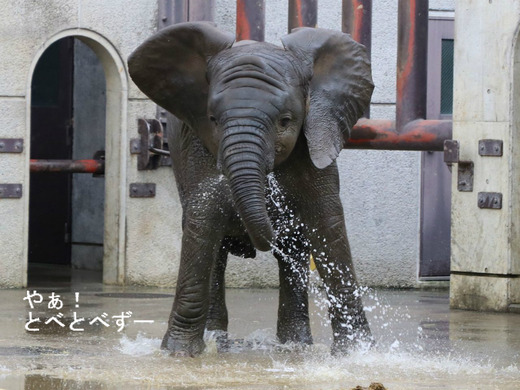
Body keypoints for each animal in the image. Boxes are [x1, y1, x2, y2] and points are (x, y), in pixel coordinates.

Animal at [129, 21, 374, 356]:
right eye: (212, 119)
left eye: (285, 121)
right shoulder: (197, 144)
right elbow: (202, 217)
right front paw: (177, 353)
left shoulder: (316, 139)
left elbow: (327, 223)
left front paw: (357, 353)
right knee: (217, 252)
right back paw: (218, 341)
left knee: (295, 249)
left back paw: (294, 346)